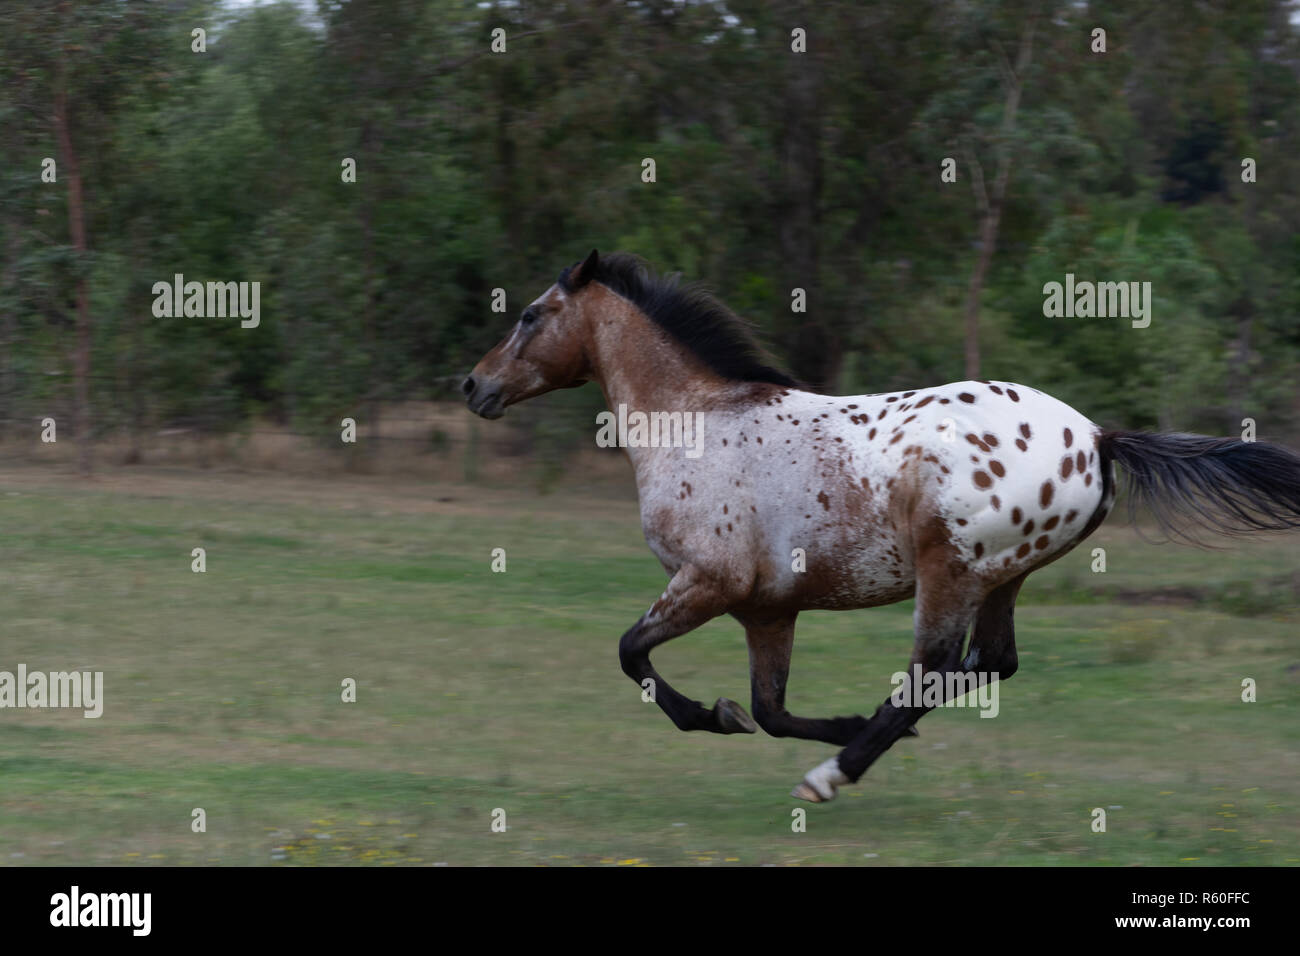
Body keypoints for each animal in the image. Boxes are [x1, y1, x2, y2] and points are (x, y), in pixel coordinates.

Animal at [462, 249, 1300, 803]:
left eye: (531, 314)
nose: (473, 385)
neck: (695, 422)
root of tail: (1097, 438)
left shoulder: (707, 582)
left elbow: (632, 654)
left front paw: (712, 716)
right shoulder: (767, 609)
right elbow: (771, 710)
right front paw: (802, 719)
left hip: (950, 570)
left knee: (932, 670)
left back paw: (830, 777)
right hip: (1004, 577)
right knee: (990, 664)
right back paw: (860, 742)